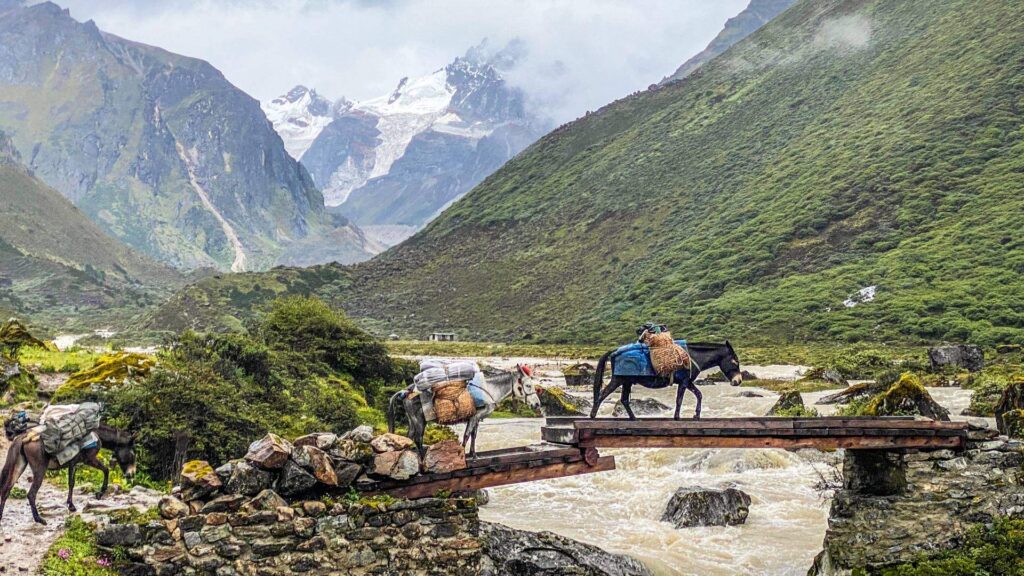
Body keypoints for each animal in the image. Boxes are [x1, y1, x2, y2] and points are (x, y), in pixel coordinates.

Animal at [385, 362, 544, 457]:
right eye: (528, 385)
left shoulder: (477, 417)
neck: (489, 389)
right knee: (418, 439)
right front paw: (462, 454)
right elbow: (467, 435)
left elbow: (473, 435)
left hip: (412, 420)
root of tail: (406, 391)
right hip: (419, 420)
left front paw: (473, 455)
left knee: (409, 436)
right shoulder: (475, 416)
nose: (537, 404)